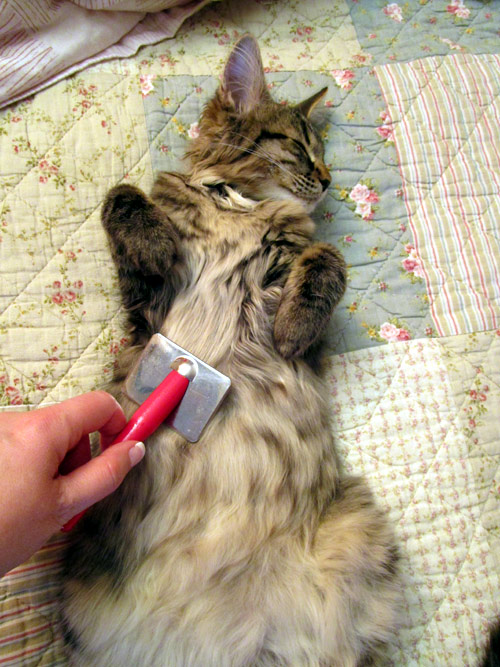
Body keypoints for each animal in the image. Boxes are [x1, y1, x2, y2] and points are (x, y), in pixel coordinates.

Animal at [61, 35, 401, 666]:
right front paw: (155, 239)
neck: (239, 204)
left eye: (322, 152)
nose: (328, 178)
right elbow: (122, 194)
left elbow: (326, 260)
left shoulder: (291, 273)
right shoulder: (145, 309)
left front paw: (294, 324)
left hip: (360, 533)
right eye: (301, 147)